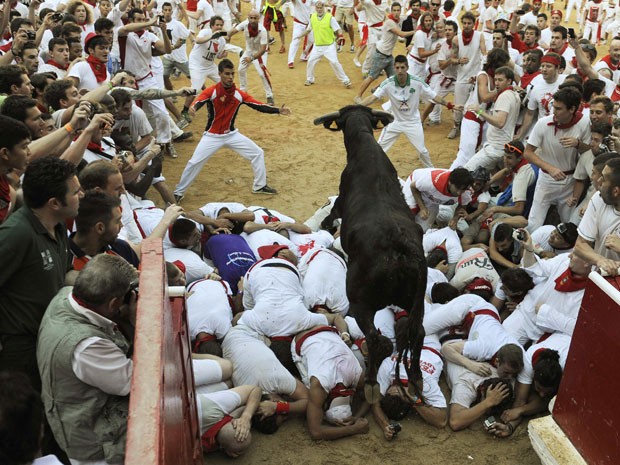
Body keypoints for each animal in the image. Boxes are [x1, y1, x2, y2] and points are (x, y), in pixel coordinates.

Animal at [314, 105, 426, 402]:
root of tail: (401, 251)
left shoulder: (340, 202)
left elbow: (332, 212)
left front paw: (325, 225)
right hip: (416, 305)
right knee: (418, 333)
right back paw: (415, 377)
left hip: (361, 303)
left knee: (375, 339)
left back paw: (371, 383)